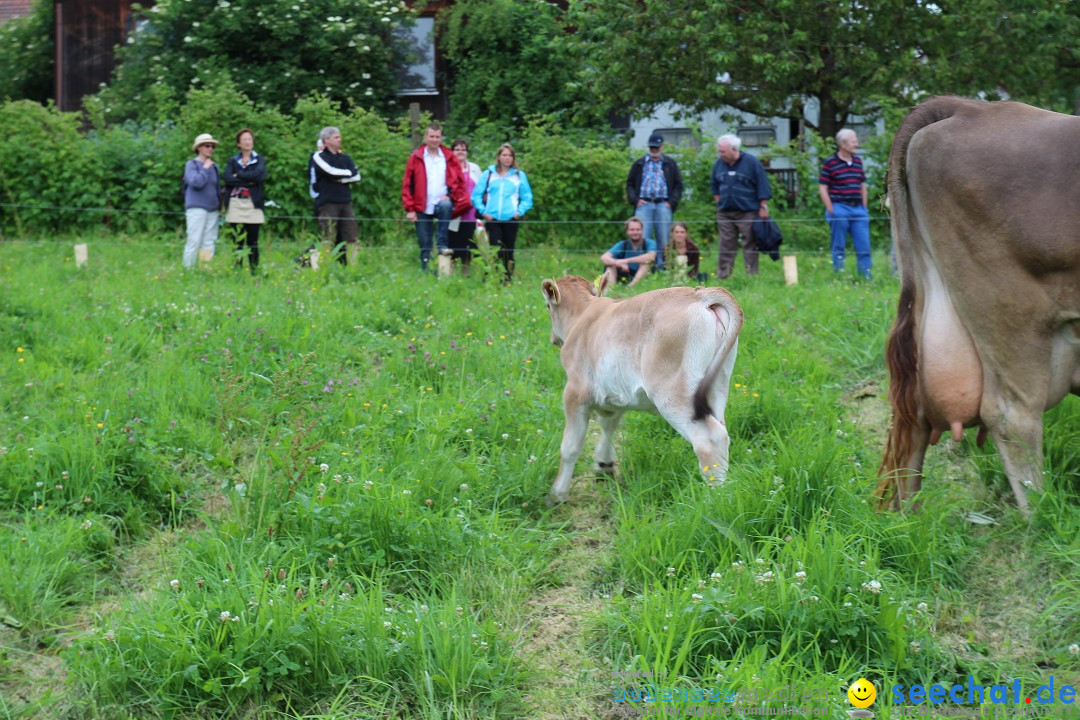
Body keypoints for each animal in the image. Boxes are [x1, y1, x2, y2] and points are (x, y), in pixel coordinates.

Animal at [540, 276, 743, 507]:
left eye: (548, 306)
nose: (553, 339)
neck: (584, 315)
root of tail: (699, 293)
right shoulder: (613, 396)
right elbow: (609, 426)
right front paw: (604, 465)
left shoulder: (575, 392)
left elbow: (570, 447)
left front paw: (557, 494)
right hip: (716, 387)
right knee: (722, 434)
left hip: (673, 394)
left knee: (709, 440)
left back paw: (713, 500)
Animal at [881, 97, 1075, 511]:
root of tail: (967, 107)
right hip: (1013, 310)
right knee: (1012, 415)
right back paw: (1044, 516)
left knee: (912, 415)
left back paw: (907, 518)